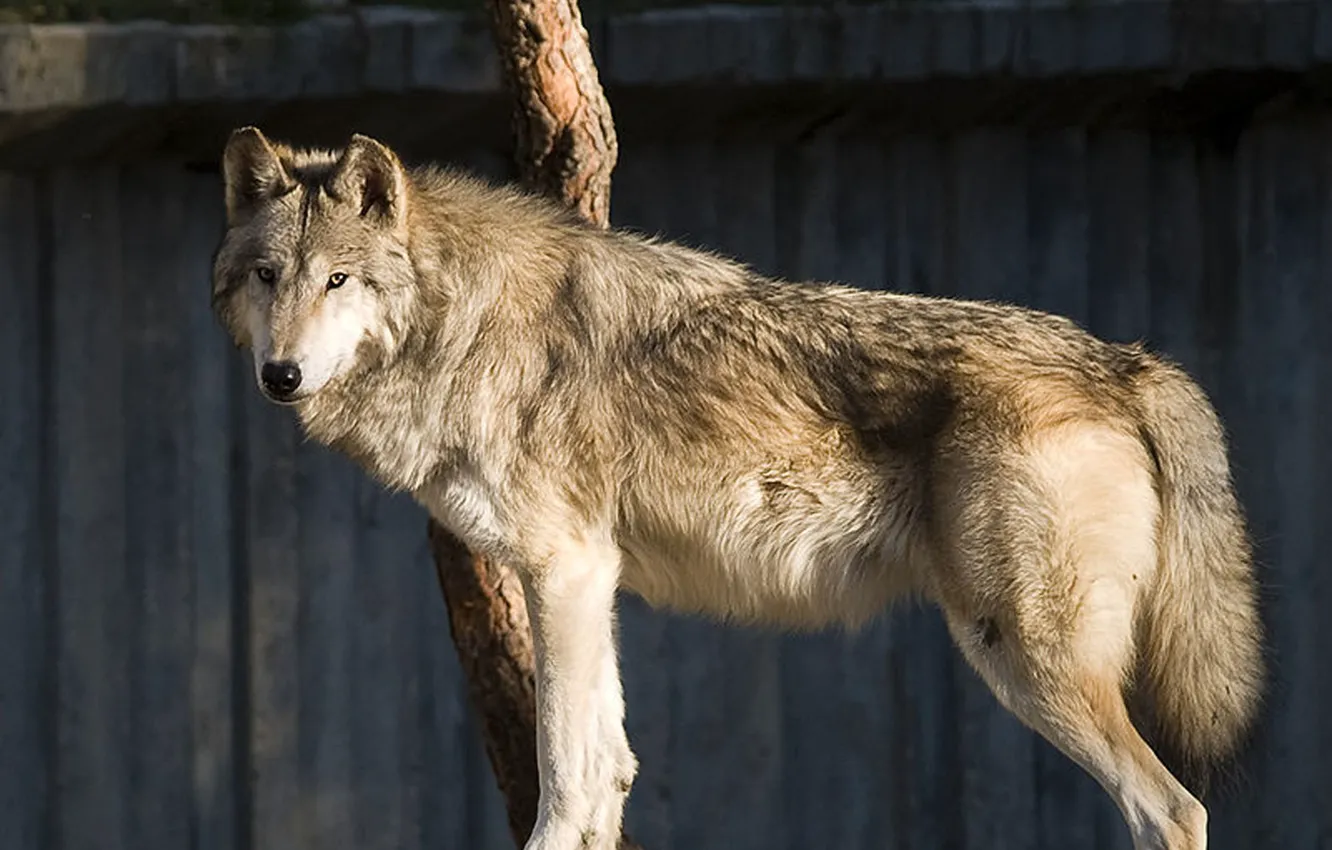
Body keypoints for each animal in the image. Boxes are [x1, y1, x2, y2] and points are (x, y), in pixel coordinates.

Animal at [211, 127, 1263, 850]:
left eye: (340, 280)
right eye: (268, 276)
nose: (280, 377)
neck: (458, 322)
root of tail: (1127, 360)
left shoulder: (563, 570)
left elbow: (564, 779)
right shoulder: (587, 582)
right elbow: (606, 772)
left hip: (1025, 654)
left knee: (1174, 809)